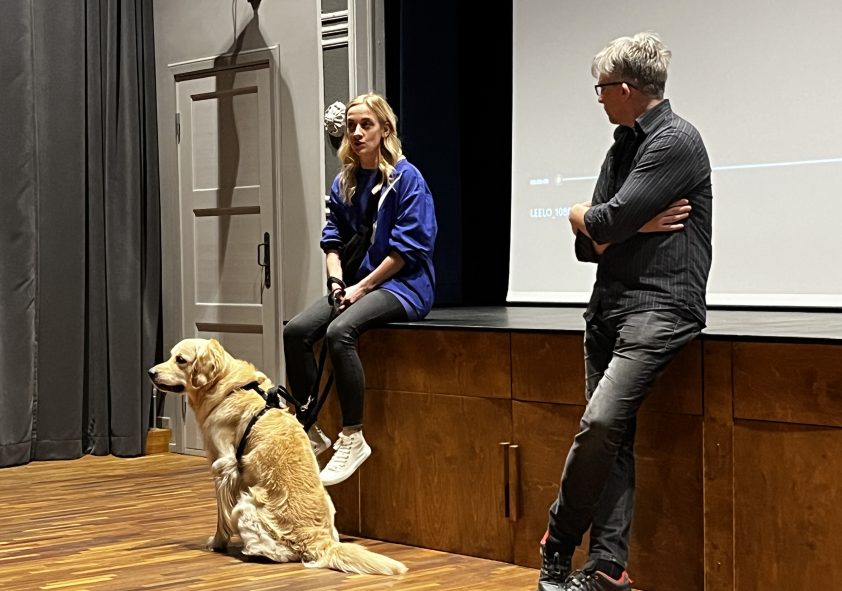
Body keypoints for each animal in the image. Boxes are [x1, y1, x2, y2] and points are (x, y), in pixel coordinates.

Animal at [147, 337, 407, 575]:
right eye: (170, 356)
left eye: (181, 360)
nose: (151, 372)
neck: (226, 388)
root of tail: (320, 541)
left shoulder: (223, 466)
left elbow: (222, 515)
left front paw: (218, 542)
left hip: (246, 505)